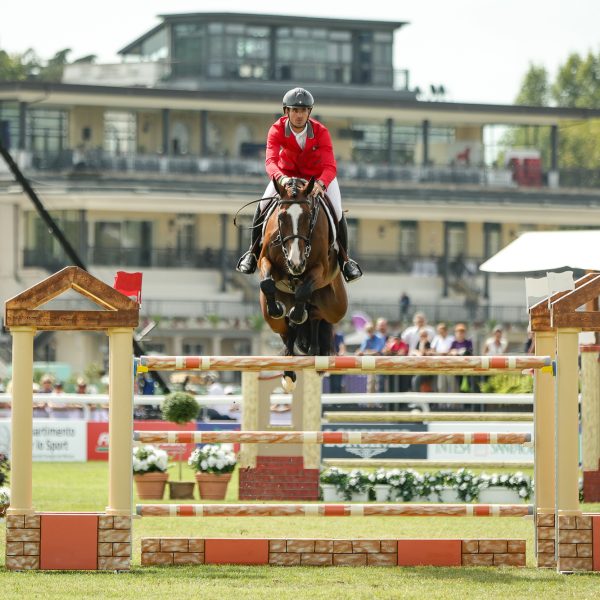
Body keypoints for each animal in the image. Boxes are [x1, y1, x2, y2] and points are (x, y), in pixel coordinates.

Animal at [256, 177, 346, 394]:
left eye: (308, 217)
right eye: (281, 218)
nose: (295, 264)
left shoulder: (319, 269)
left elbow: (303, 291)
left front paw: (298, 313)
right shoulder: (265, 260)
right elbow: (267, 282)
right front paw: (277, 308)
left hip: (335, 307)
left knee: (315, 315)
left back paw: (312, 347)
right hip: (271, 319)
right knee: (285, 330)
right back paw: (288, 373)